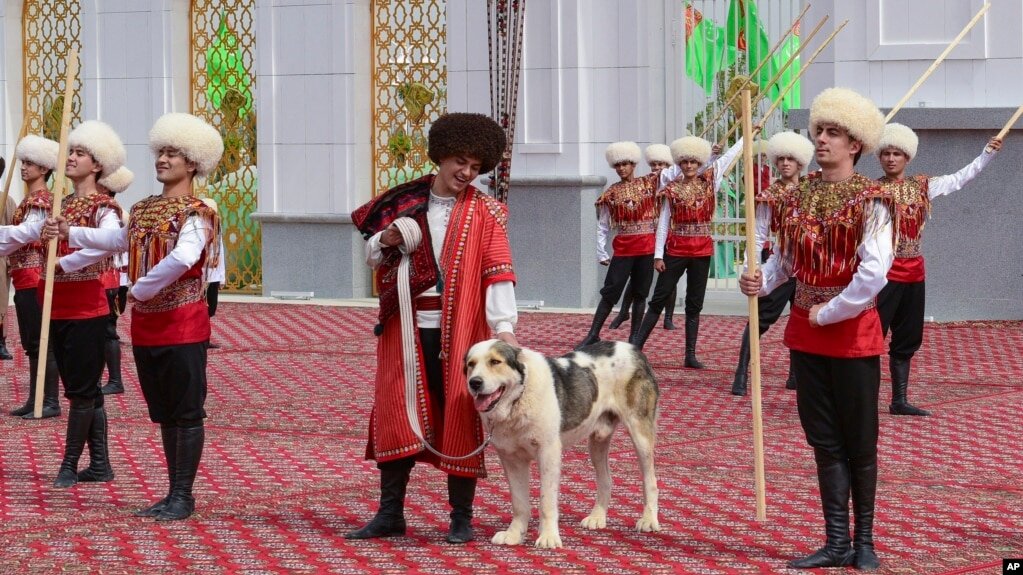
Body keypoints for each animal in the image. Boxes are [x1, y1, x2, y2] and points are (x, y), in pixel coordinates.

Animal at [466, 337, 662, 548]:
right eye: (471, 364)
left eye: (495, 362)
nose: (474, 382)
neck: (518, 399)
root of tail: (633, 349)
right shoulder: (511, 459)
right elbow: (519, 502)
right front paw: (514, 534)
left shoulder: (548, 453)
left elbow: (546, 500)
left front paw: (548, 537)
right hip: (597, 442)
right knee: (606, 480)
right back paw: (597, 517)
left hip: (640, 434)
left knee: (650, 481)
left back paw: (649, 520)